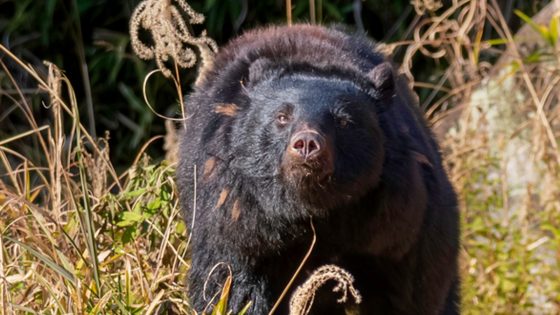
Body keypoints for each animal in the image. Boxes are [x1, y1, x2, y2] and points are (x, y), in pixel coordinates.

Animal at [176, 24, 460, 315]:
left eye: (343, 121)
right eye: (282, 116)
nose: (307, 144)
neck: (314, 214)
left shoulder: (399, 231)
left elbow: (413, 294)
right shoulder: (234, 217)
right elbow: (229, 284)